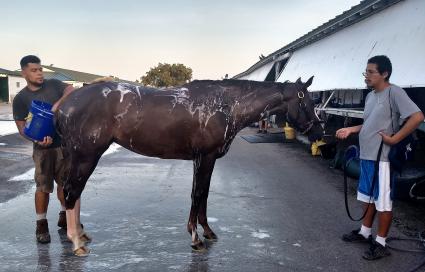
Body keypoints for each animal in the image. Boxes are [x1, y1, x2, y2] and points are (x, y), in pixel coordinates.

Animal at [55, 77, 322, 255]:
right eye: (305, 102)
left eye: (313, 100)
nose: (319, 132)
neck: (225, 105)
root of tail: (65, 103)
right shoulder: (206, 157)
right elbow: (198, 194)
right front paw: (196, 238)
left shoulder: (202, 159)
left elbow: (202, 195)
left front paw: (207, 231)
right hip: (86, 157)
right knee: (71, 192)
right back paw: (76, 242)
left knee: (70, 193)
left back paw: (80, 235)